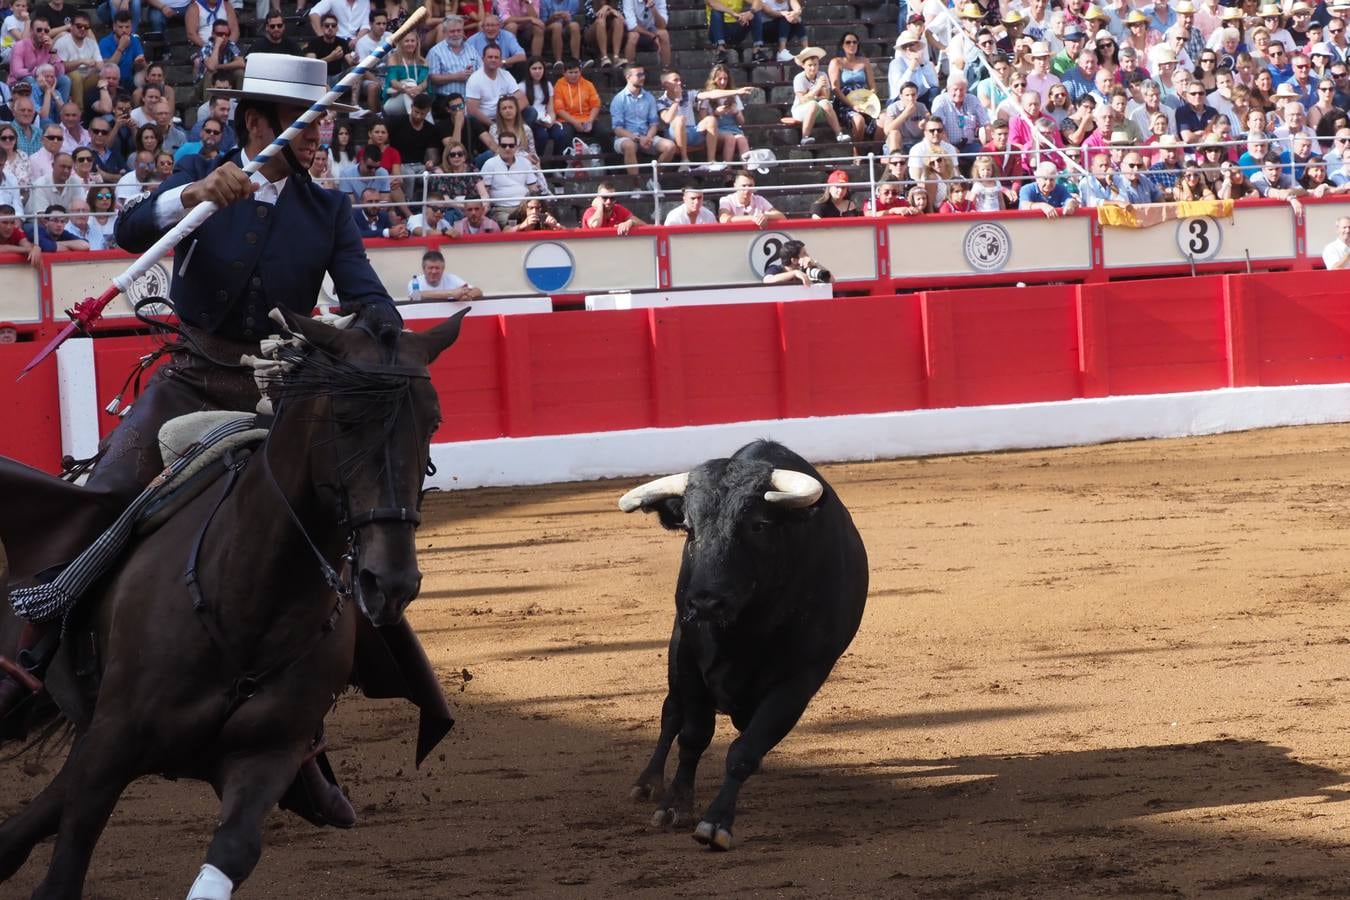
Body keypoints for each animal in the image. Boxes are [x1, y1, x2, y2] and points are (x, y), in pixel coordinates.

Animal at [0, 311, 464, 900]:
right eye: (345, 418)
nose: (391, 580)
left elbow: (233, 851)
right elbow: (67, 864)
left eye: (433, 422)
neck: (252, 601)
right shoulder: (112, 739)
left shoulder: (268, 755)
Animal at [618, 439, 864, 847]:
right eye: (689, 527)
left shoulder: (800, 679)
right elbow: (692, 737)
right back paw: (647, 783)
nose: (704, 601)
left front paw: (716, 822)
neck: (744, 629)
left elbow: (745, 750)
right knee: (671, 714)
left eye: (759, 524)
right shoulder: (689, 659)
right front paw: (675, 806)